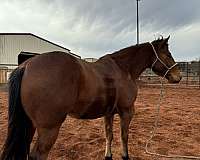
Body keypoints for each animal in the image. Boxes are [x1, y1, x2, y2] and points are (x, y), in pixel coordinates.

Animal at [0, 36, 181, 160]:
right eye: (167, 54)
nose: (178, 76)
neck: (123, 69)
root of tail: (26, 65)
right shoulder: (127, 112)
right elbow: (124, 136)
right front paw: (125, 156)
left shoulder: (109, 113)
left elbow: (109, 135)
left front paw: (108, 155)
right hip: (49, 129)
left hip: (29, 125)